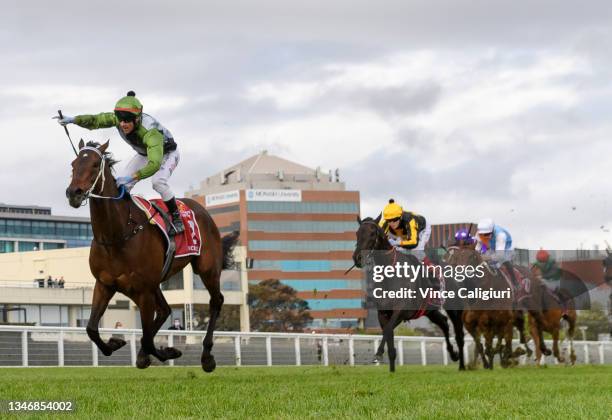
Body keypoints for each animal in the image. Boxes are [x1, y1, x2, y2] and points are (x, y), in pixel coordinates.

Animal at [65, 140, 238, 370]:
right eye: (73, 164)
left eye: (94, 165)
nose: (73, 193)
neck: (118, 235)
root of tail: (200, 207)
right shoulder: (104, 285)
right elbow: (92, 329)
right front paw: (117, 343)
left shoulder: (143, 290)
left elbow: (146, 338)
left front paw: (164, 352)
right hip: (153, 283)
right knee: (165, 310)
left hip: (207, 269)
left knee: (216, 301)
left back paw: (207, 356)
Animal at [352, 218, 462, 372]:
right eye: (357, 233)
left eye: (372, 234)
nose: (358, 257)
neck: (391, 275)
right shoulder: (383, 313)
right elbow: (389, 337)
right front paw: (391, 369)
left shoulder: (401, 311)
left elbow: (388, 330)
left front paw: (378, 354)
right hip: (430, 311)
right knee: (444, 323)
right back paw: (453, 354)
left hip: (452, 306)